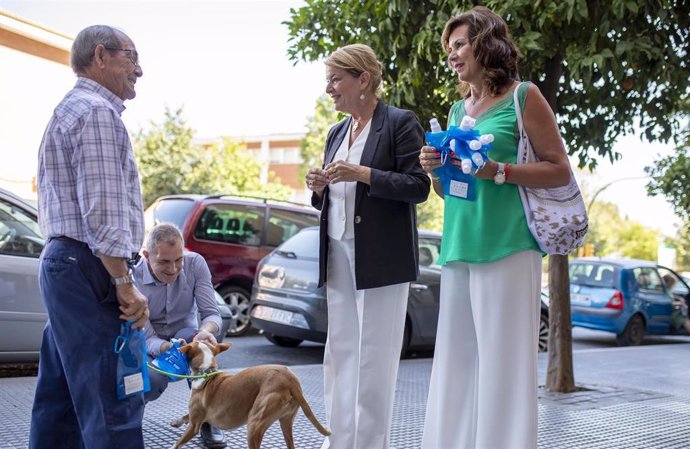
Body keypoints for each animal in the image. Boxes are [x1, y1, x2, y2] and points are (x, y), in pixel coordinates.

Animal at [170, 342, 330, 446]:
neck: (207, 372)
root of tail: (291, 381)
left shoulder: (194, 425)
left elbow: (177, 443)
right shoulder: (197, 417)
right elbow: (186, 416)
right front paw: (176, 421)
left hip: (255, 423)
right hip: (286, 422)